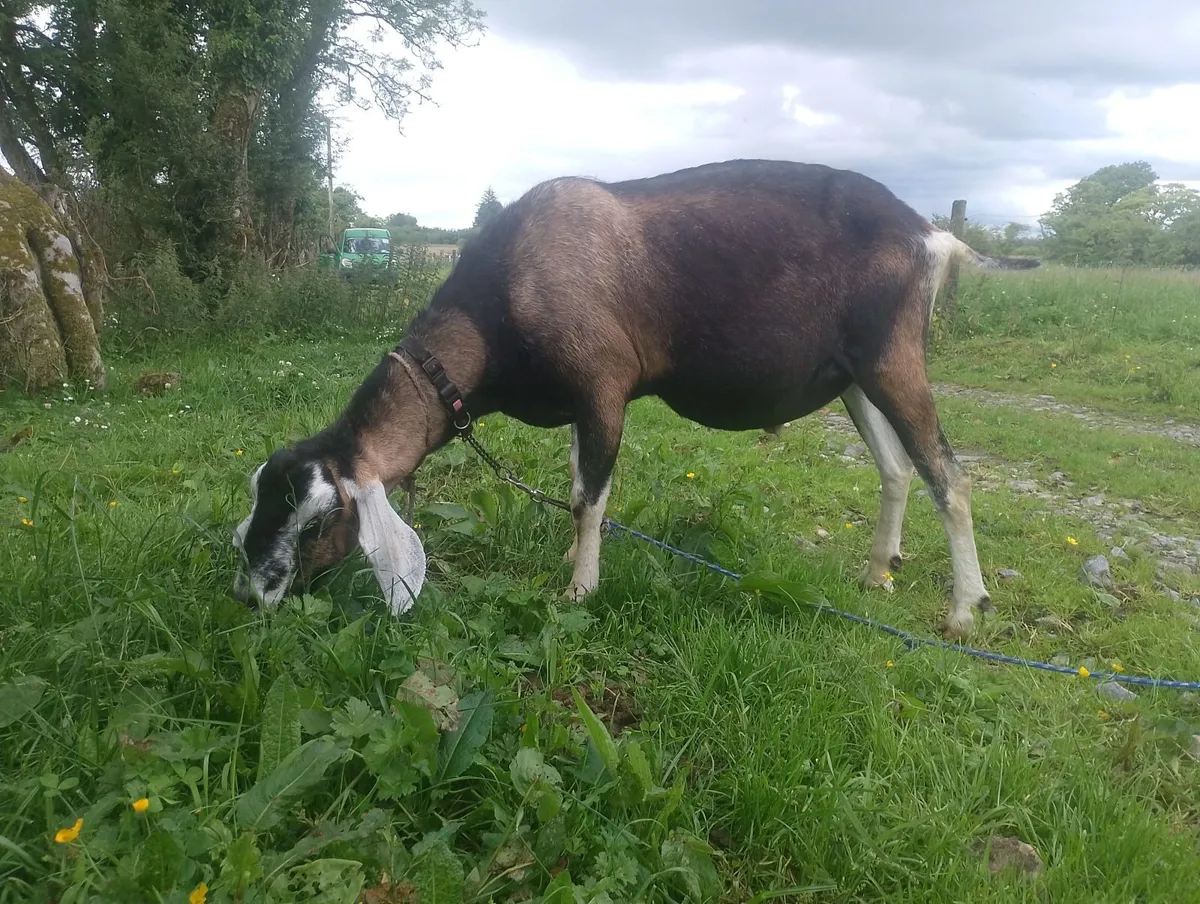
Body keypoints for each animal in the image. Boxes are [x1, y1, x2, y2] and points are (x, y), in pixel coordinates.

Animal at [232, 158, 1039, 637]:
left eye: (317, 522)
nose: (248, 596)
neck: (500, 306)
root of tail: (932, 235)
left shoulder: (603, 386)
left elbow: (590, 497)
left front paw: (578, 590)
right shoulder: (577, 405)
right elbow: (575, 483)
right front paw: (570, 562)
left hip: (892, 359)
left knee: (949, 475)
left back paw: (965, 610)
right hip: (854, 376)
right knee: (898, 470)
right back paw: (877, 572)